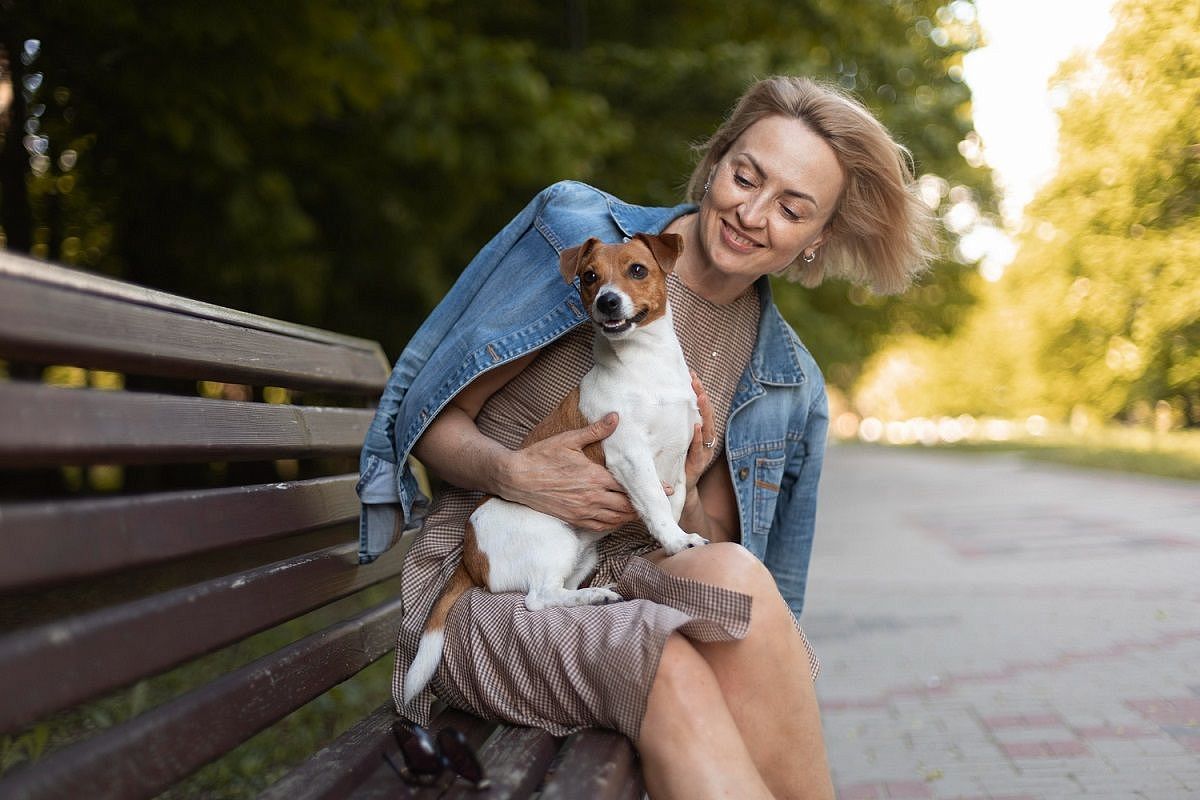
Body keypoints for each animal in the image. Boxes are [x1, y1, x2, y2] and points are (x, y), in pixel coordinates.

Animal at [405, 231, 700, 705]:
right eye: (589, 277)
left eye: (638, 270)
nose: (607, 302)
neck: (646, 367)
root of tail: (469, 556)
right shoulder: (630, 454)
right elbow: (655, 505)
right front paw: (676, 542)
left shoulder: (678, 459)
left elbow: (670, 506)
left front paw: (670, 542)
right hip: (553, 540)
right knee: (536, 601)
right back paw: (592, 597)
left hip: (581, 554)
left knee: (555, 592)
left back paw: (594, 595)